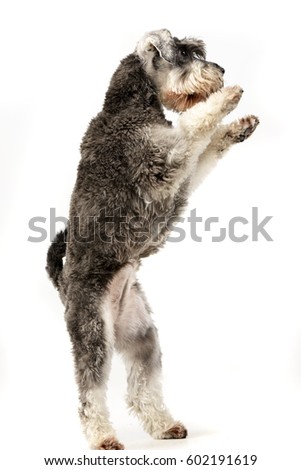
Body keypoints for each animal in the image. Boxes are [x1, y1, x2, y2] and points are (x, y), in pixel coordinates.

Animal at [46, 28, 258, 448]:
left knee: (141, 387)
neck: (128, 104)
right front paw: (227, 98)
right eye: (185, 52)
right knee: (89, 391)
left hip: (142, 333)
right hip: (93, 332)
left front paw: (240, 126)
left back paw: (164, 424)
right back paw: (103, 438)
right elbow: (194, 125)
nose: (221, 70)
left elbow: (207, 146)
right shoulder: (163, 161)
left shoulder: (180, 171)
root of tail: (62, 283)